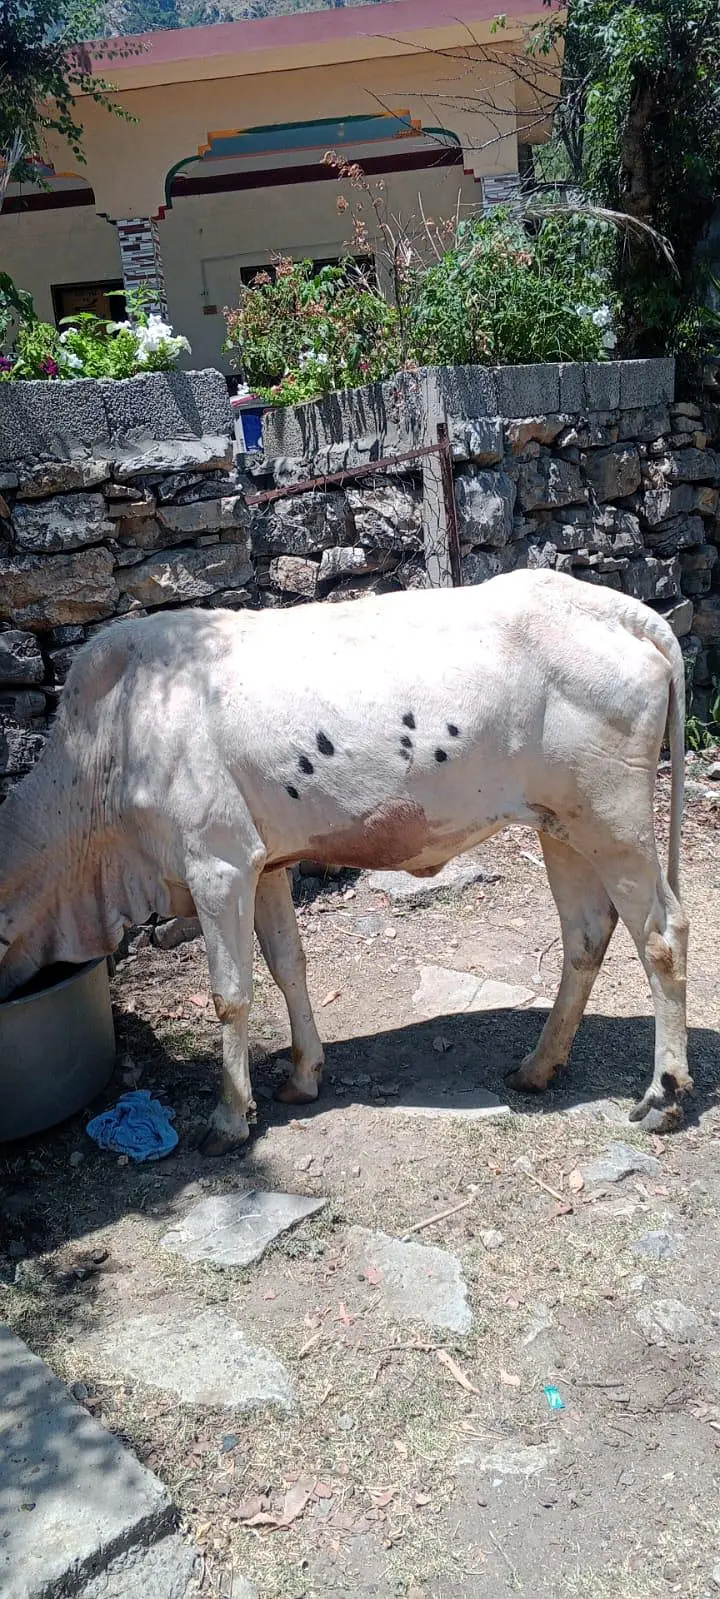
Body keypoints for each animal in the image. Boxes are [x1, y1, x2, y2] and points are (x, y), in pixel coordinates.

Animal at [0, 569, 691, 1151]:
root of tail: (621, 611)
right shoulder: (264, 865)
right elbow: (288, 968)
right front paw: (303, 1076)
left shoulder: (217, 867)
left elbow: (231, 993)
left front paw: (228, 1118)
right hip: (562, 826)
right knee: (586, 935)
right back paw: (539, 1067)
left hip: (613, 821)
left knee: (663, 934)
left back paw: (662, 1096)